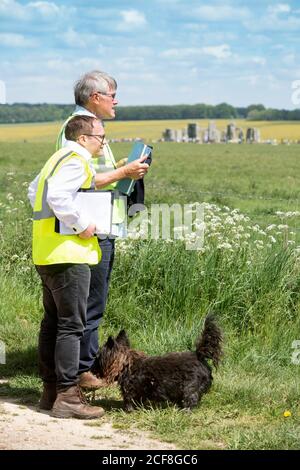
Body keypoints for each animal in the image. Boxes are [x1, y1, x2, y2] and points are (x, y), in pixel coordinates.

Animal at [94, 316, 223, 412]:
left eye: (98, 357)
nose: (92, 368)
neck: (125, 365)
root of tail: (199, 356)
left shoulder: (130, 391)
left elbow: (130, 401)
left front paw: (127, 410)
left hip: (189, 387)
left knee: (191, 398)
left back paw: (185, 410)